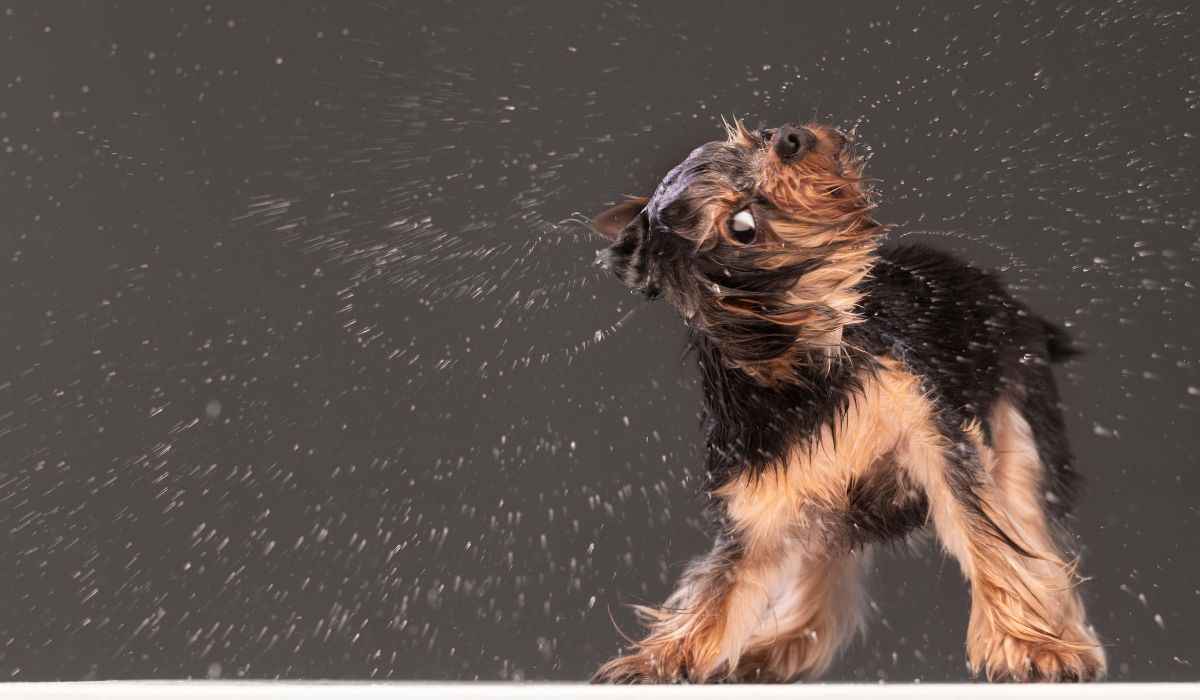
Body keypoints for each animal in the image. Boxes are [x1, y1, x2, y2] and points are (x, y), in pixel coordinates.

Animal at [585, 120, 1099, 686]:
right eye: (741, 226)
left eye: (754, 137)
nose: (788, 136)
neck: (806, 364)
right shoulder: (762, 493)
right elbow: (722, 587)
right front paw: (661, 660)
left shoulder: (936, 436)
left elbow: (988, 538)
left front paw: (1030, 645)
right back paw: (782, 645)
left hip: (1018, 419)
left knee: (1028, 522)